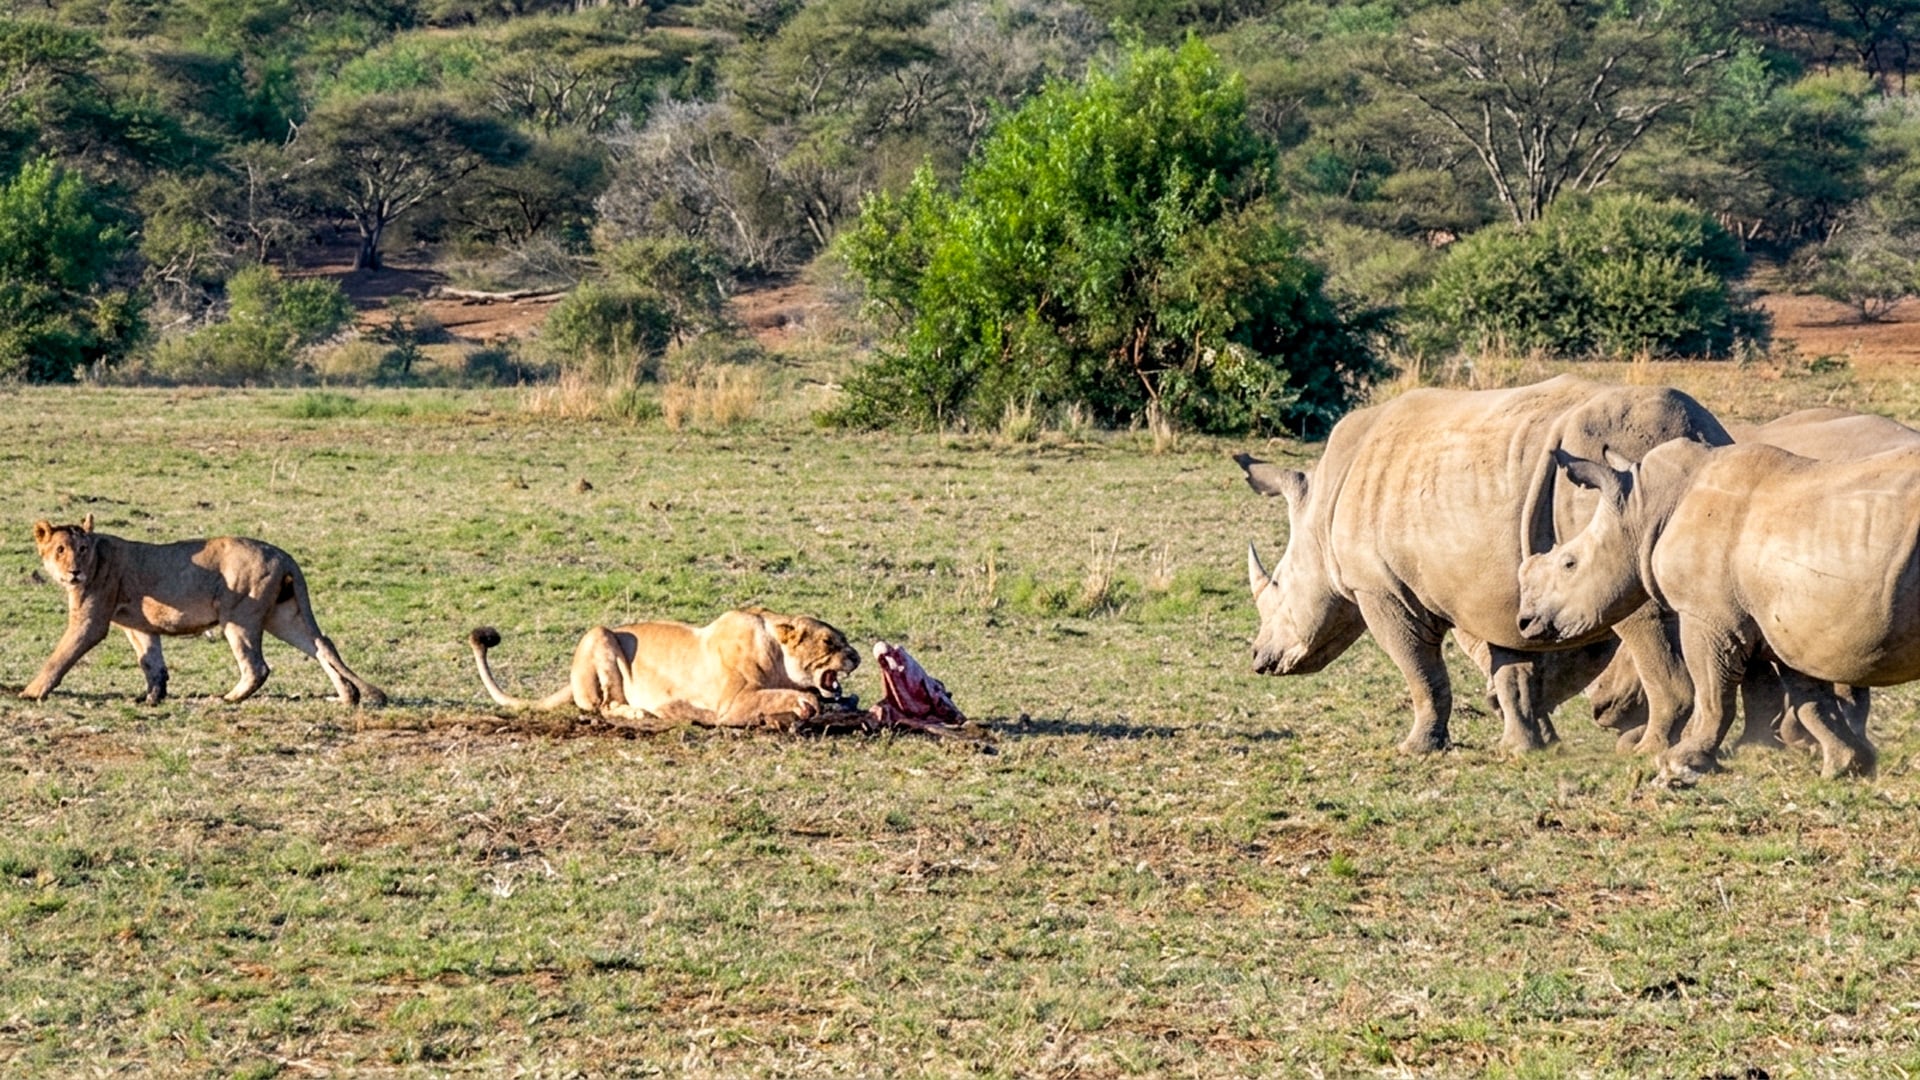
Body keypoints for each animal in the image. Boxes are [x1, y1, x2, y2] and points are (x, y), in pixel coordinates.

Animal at [22, 514, 387, 707]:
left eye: (82, 549)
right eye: (60, 549)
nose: (74, 572)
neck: (98, 558)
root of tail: (284, 555)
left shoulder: (90, 620)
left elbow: (60, 656)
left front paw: (30, 692)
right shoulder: (139, 625)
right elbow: (151, 662)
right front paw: (153, 698)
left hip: (239, 617)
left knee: (258, 667)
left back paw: (228, 698)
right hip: (284, 615)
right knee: (322, 645)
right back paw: (346, 696)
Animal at [467, 607, 858, 729]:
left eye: (844, 639)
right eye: (829, 642)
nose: (856, 656)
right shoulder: (731, 705)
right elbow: (787, 695)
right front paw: (806, 704)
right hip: (600, 635)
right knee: (603, 705)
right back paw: (641, 713)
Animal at [1239, 374, 1730, 757]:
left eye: (1278, 585)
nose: (1259, 659)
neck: (1321, 513)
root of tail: (1700, 432)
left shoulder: (1380, 590)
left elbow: (1421, 671)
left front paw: (1417, 748)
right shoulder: (1497, 590)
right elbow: (1514, 668)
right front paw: (1527, 745)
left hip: (1620, 487)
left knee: (1642, 618)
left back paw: (1646, 751)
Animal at [1515, 438, 1920, 779]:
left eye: (1569, 564)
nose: (1525, 622)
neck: (1645, 508)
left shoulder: (1708, 617)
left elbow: (1713, 693)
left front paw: (1679, 763)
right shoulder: (1791, 625)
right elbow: (1811, 699)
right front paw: (1846, 766)